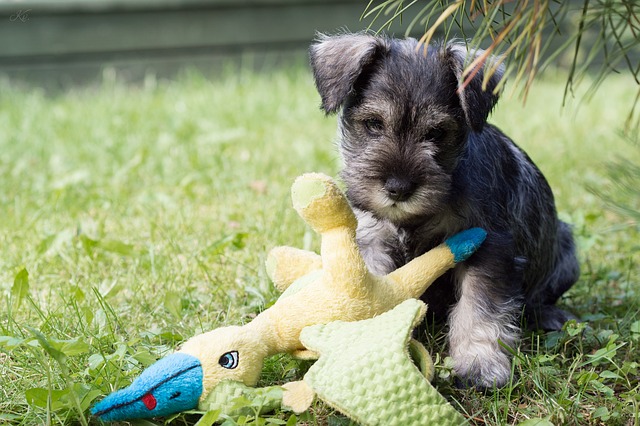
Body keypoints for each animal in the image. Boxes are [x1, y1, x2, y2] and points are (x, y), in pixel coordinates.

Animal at [308, 34, 580, 390]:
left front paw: (479, 363)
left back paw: (550, 316)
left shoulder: (487, 247)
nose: (398, 188)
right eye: (373, 124)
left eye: (437, 132)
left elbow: (479, 307)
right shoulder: (373, 243)